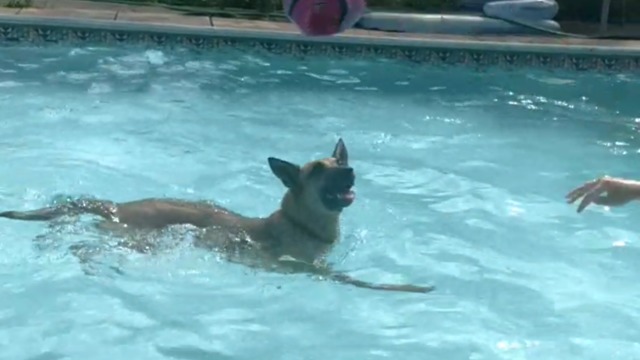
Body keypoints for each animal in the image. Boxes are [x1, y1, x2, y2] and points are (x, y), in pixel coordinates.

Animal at [0, 139, 432, 294]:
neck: (300, 223)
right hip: (133, 241)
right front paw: (406, 288)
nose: (350, 171)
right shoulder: (309, 269)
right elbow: (355, 280)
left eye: (340, 162)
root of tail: (120, 205)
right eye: (315, 170)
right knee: (81, 245)